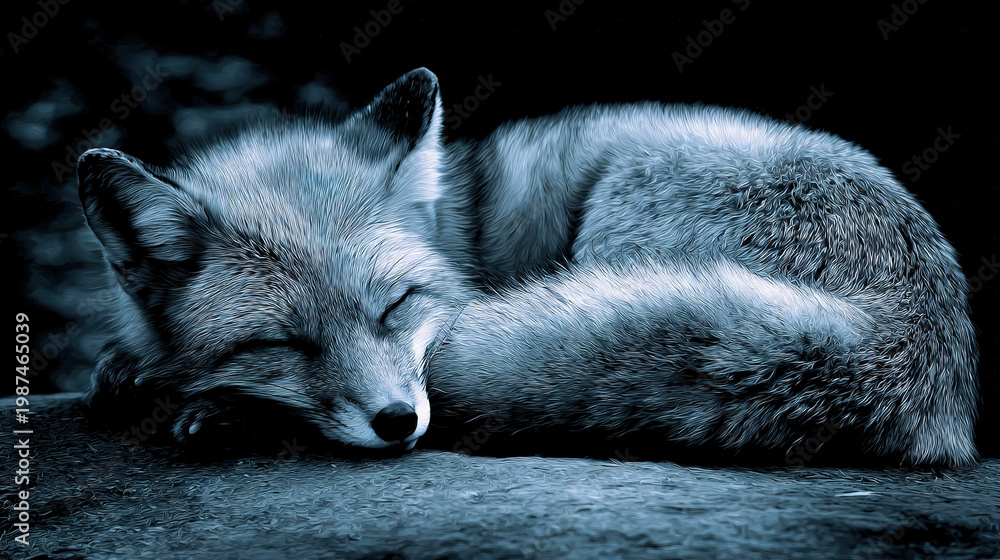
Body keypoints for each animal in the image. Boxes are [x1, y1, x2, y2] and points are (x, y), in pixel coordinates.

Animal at [78, 68, 979, 465]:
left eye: (395, 306)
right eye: (284, 344)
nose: (397, 422)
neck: (459, 231)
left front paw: (215, 406)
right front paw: (130, 368)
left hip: (627, 190)